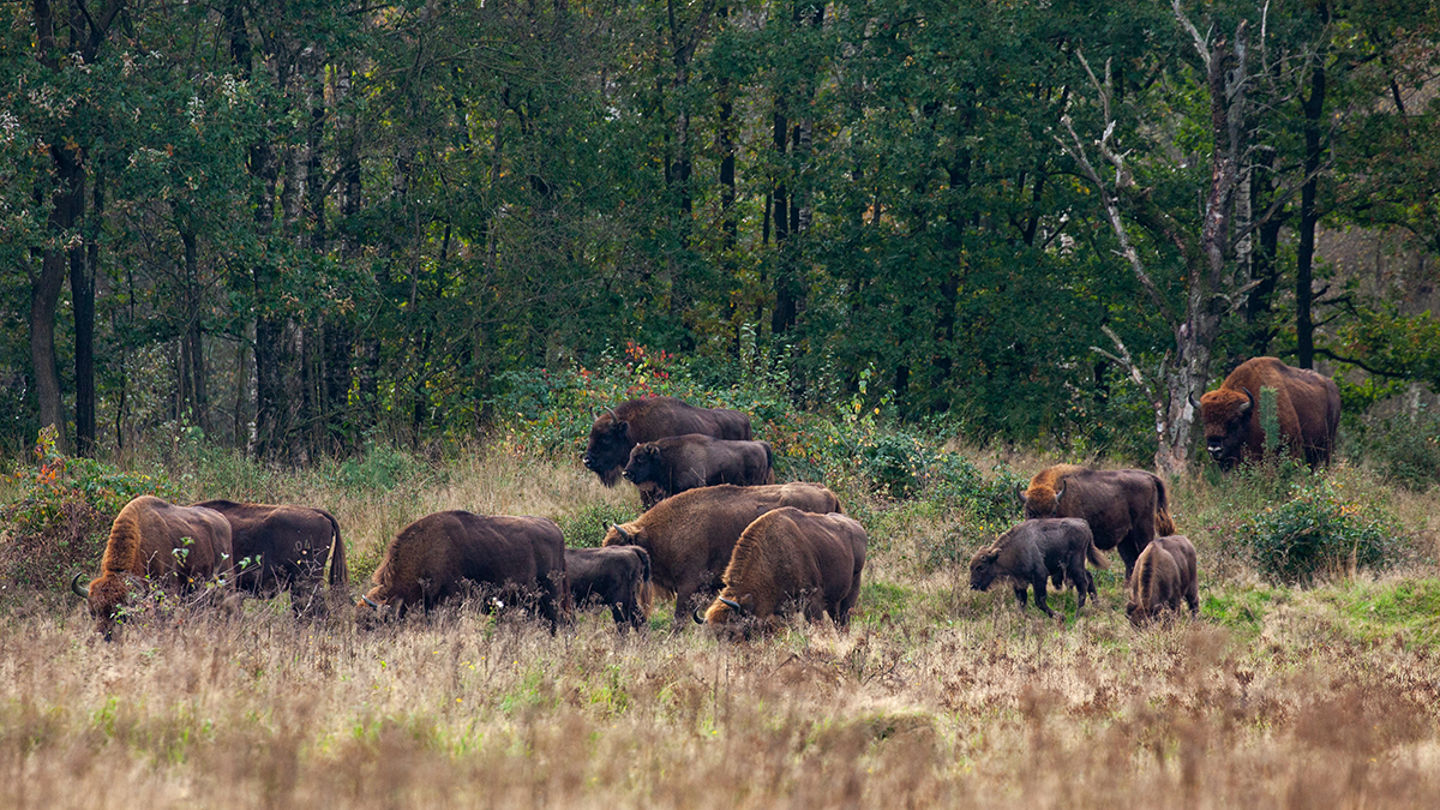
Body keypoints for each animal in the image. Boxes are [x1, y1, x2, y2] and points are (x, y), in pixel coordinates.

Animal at [968, 518, 1099, 619]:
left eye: (980, 567)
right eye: (971, 567)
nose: (973, 585)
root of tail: (1084, 524)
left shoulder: (1040, 576)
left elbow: (1039, 601)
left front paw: (1061, 616)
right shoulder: (1019, 583)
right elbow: (1021, 603)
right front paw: (1023, 619)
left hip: (1075, 565)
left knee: (1083, 585)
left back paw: (1077, 615)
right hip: (1075, 567)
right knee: (1089, 577)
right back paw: (1096, 606)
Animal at [1018, 464, 1175, 579]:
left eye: (1053, 512)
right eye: (1030, 512)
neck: (1060, 497)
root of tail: (1148, 476)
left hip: (1143, 530)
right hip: (1125, 538)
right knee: (1131, 560)